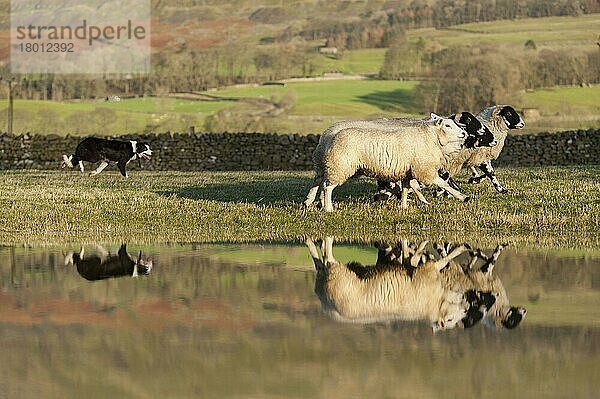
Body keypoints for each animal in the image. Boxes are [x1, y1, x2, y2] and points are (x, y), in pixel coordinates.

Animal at [308, 115, 472, 212]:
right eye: (448, 126)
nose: (464, 133)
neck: (429, 137)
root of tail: (331, 136)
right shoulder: (423, 169)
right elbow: (442, 183)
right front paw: (462, 197)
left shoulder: (408, 171)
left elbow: (406, 188)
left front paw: (404, 206)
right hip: (340, 166)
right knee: (327, 187)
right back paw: (328, 208)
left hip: (331, 165)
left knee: (321, 183)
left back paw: (313, 203)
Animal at [308, 238, 472, 332]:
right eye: (450, 320)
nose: (466, 310)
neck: (437, 302)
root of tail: (325, 303)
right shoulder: (426, 272)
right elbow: (442, 261)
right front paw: (462, 248)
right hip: (338, 273)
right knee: (328, 256)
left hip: (329, 274)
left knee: (321, 261)